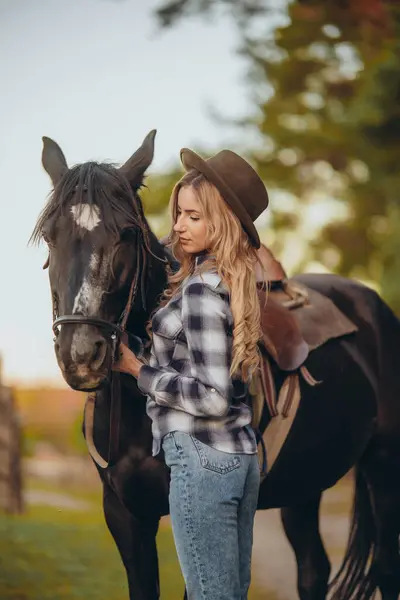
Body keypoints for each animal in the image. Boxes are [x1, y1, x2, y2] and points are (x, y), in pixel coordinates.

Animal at [32, 132, 400, 600]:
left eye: (127, 234)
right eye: (50, 237)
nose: (82, 354)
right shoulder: (125, 515)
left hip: (384, 467)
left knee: (385, 566)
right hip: (305, 484)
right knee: (313, 570)